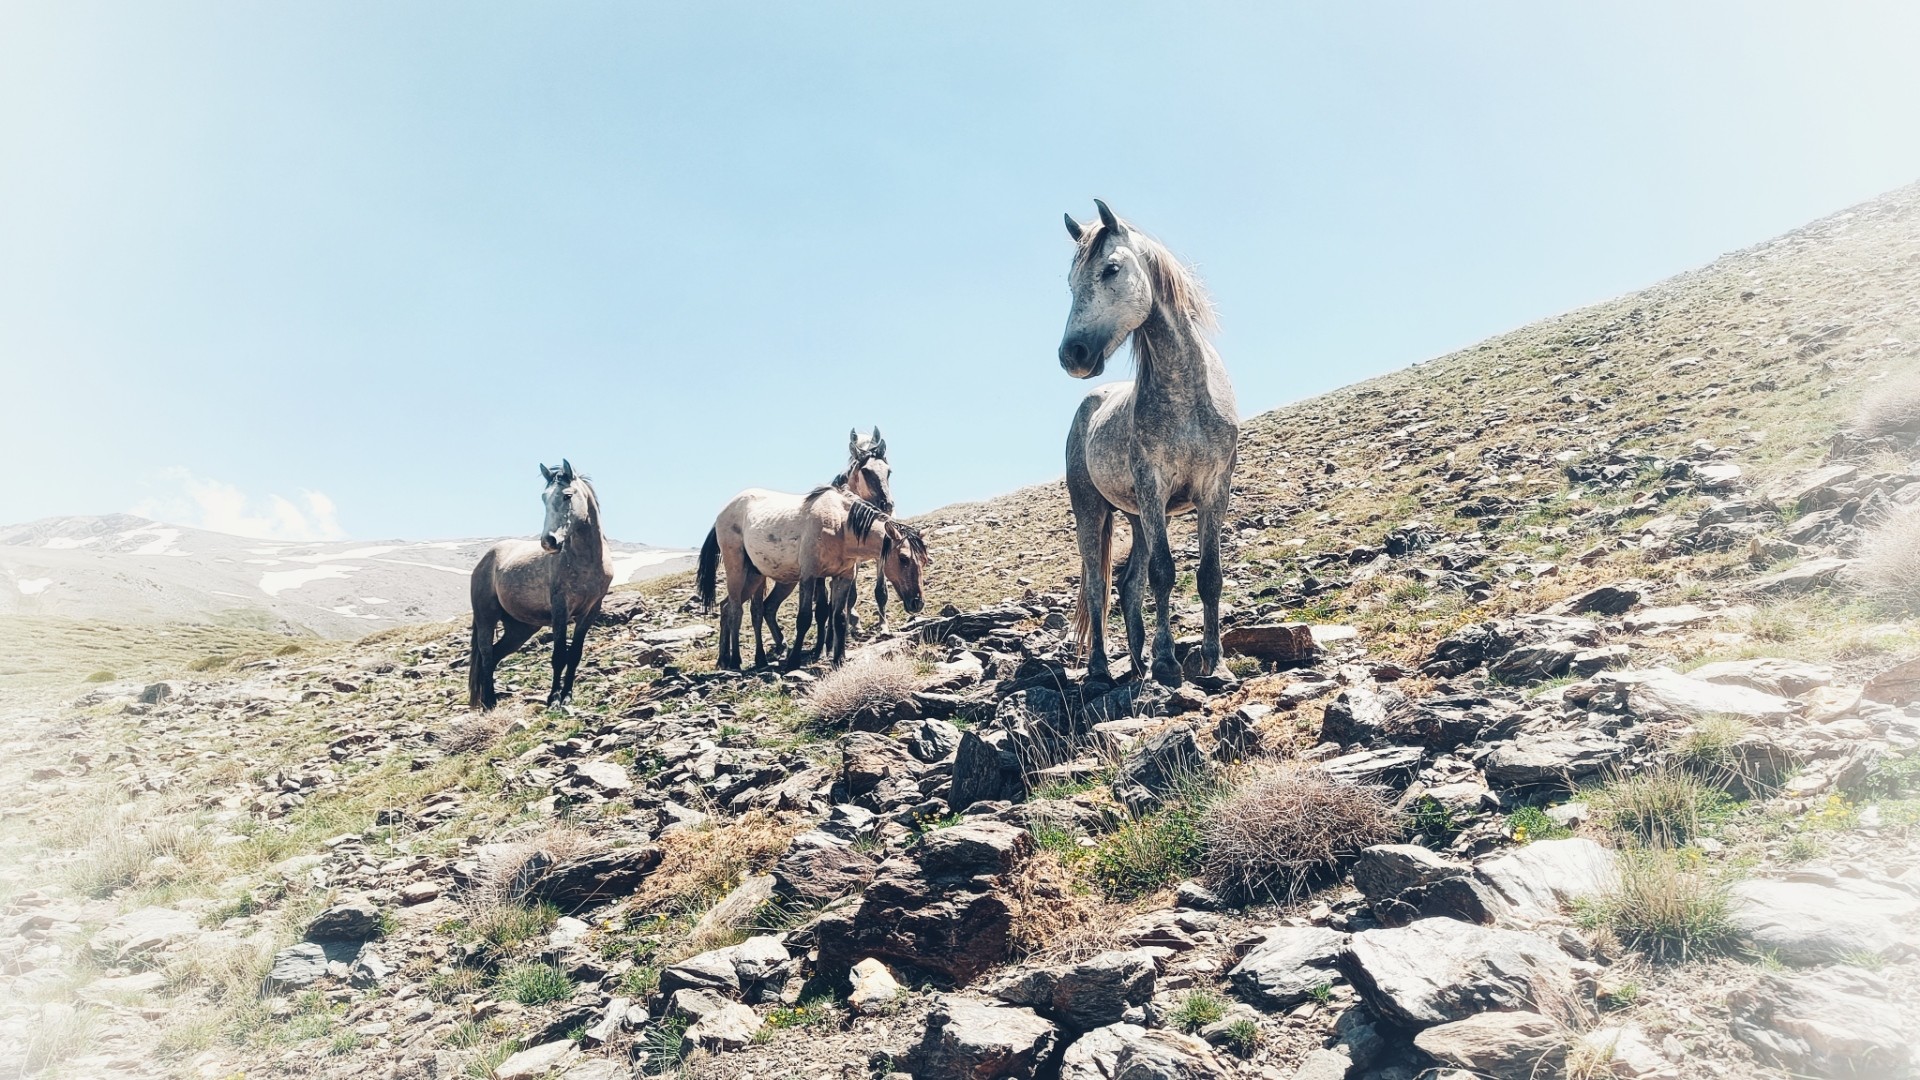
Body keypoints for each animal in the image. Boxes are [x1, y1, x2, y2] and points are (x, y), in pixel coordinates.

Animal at [468, 461, 610, 707]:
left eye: (567, 495)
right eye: (544, 498)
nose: (549, 542)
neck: (587, 562)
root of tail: (485, 560)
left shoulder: (590, 611)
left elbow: (575, 655)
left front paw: (567, 696)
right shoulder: (560, 609)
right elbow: (559, 655)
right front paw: (554, 699)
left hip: (520, 628)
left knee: (494, 655)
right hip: (486, 618)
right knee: (486, 655)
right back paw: (489, 702)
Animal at [1059, 198, 1236, 684]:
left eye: (1110, 269)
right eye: (1070, 283)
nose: (1072, 355)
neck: (1188, 396)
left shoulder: (1214, 489)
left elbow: (1209, 575)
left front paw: (1215, 661)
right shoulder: (1154, 487)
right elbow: (1163, 572)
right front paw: (1166, 662)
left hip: (1137, 517)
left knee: (1127, 583)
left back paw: (1135, 662)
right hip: (1092, 510)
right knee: (1097, 586)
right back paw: (1102, 667)